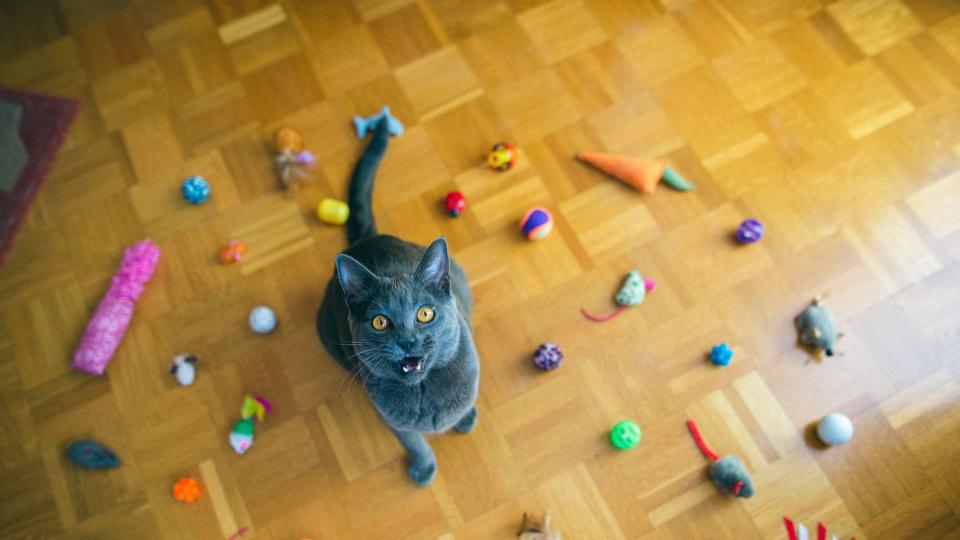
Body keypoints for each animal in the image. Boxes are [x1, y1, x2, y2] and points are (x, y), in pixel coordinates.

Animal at [316, 117, 478, 486]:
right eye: (380, 321)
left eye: (425, 314)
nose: (407, 341)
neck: (424, 390)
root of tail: (365, 240)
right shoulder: (391, 418)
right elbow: (413, 440)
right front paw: (424, 467)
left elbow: (463, 405)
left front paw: (464, 418)